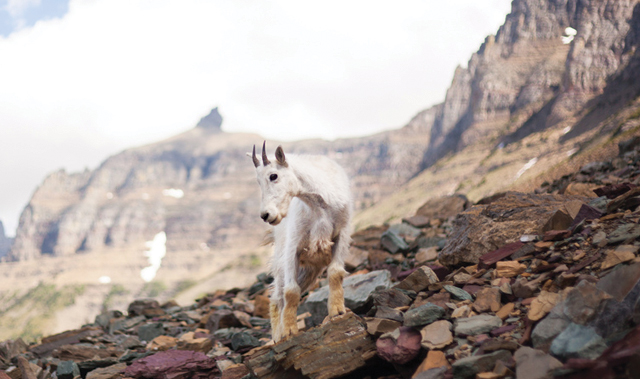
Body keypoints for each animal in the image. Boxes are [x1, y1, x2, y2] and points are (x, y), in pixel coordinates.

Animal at [251, 142, 352, 342]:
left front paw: (337, 310)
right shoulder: (293, 246)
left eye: (273, 176)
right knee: (277, 297)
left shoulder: (341, 235)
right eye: (258, 181)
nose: (266, 215)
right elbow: (291, 291)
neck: (320, 203)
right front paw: (289, 330)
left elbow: (335, 272)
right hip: (282, 262)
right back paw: (277, 335)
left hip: (309, 271)